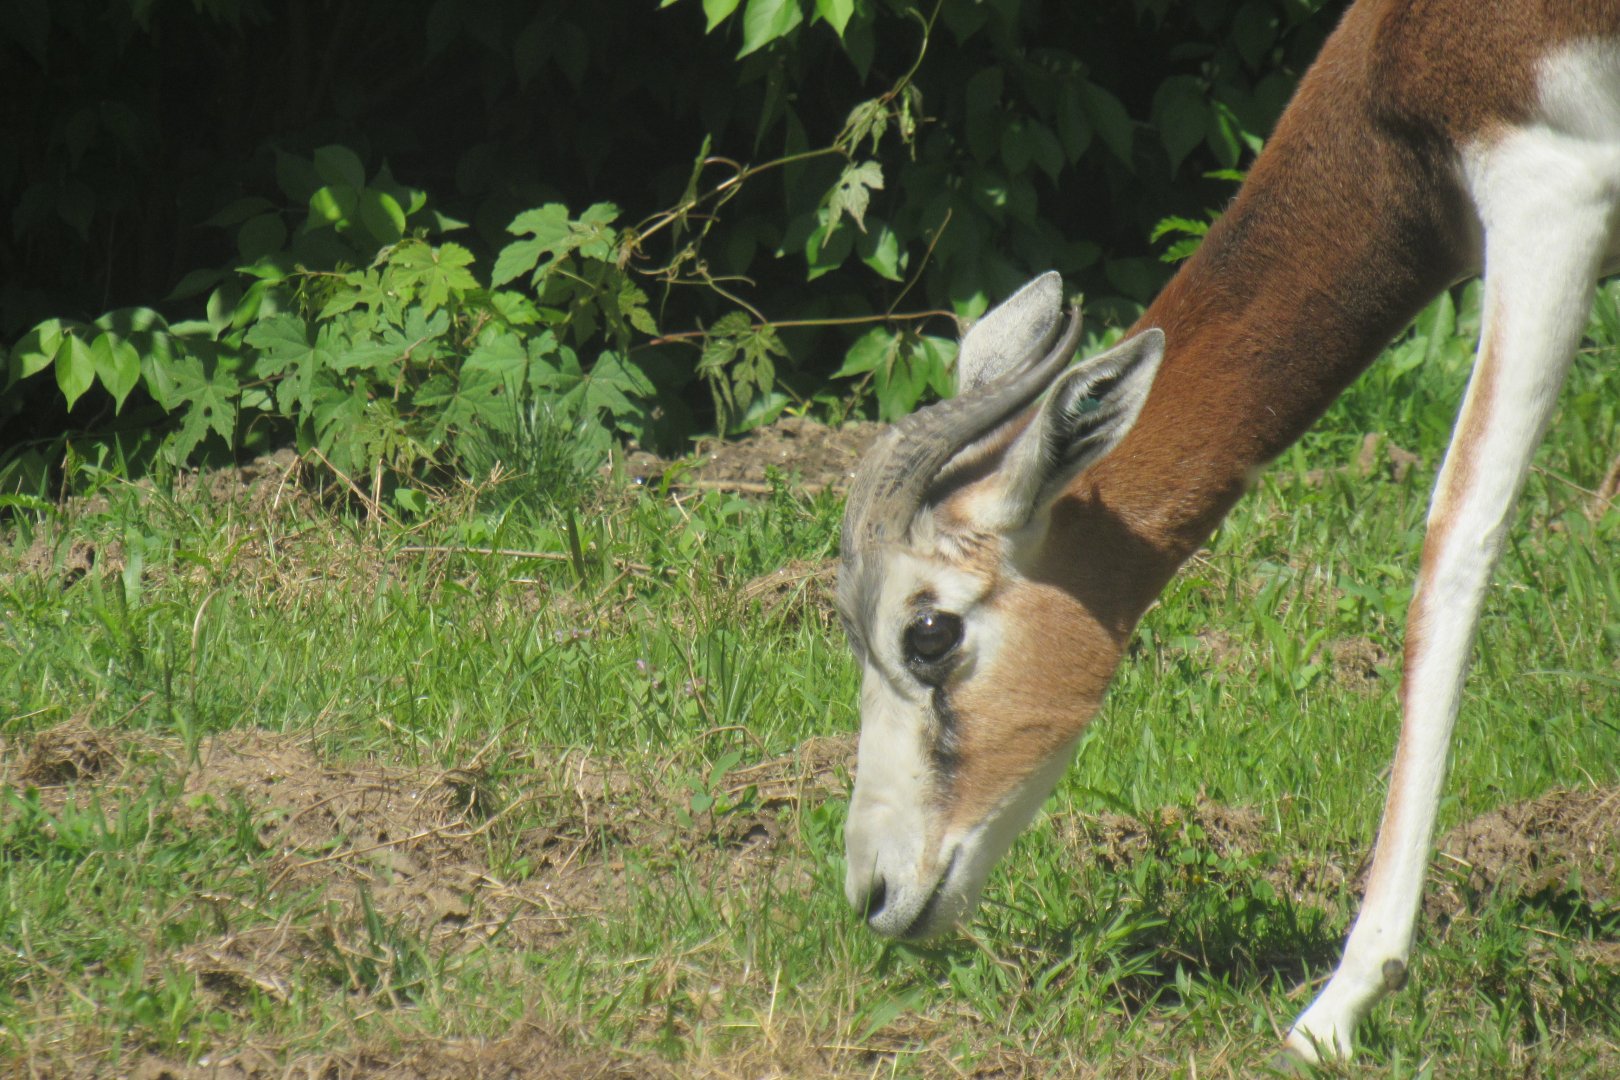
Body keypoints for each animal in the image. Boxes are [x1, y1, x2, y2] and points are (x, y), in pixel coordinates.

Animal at [835, 0, 1620, 1062]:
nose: (874, 893)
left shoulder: (1551, 197)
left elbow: (1455, 540)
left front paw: (1339, 1005)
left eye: (929, 632)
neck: (1401, 53)